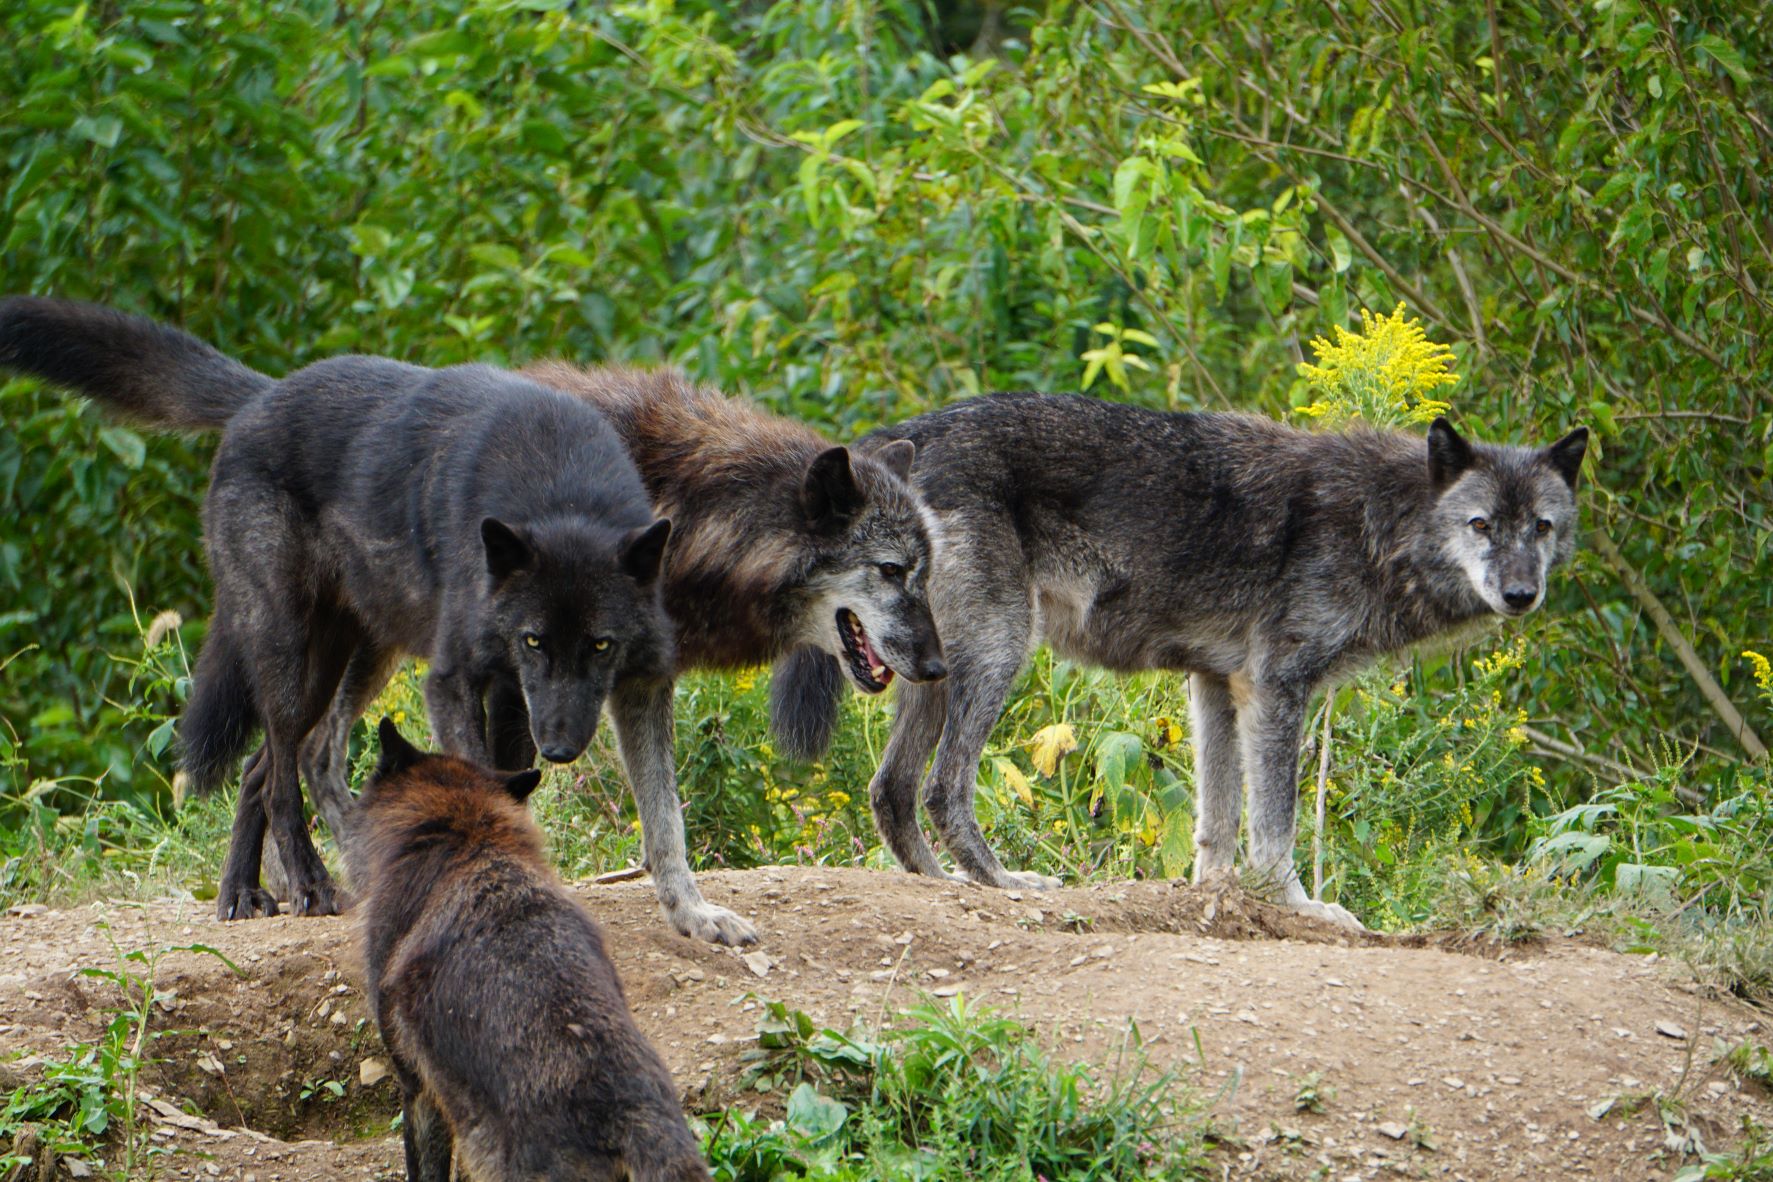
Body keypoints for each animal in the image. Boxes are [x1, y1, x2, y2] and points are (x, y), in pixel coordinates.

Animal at [0, 295, 673, 921]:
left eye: (601, 646)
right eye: (535, 641)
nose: (559, 747)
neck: (558, 489)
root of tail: (262, 396)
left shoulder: (513, 692)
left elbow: (513, 785)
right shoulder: (454, 679)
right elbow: (475, 773)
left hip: (350, 657)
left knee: (259, 770)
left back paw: (240, 894)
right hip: (288, 656)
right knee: (279, 781)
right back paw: (310, 885)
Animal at [783, 393, 1588, 928]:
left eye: (1542, 527)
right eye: (1480, 525)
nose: (1521, 594)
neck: (1374, 524)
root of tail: (903, 435)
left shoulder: (1215, 683)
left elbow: (1217, 823)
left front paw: (1217, 901)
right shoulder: (1275, 687)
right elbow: (1273, 825)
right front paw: (1299, 908)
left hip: (933, 672)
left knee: (889, 790)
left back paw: (945, 886)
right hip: (999, 651)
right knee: (941, 788)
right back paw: (1004, 883)